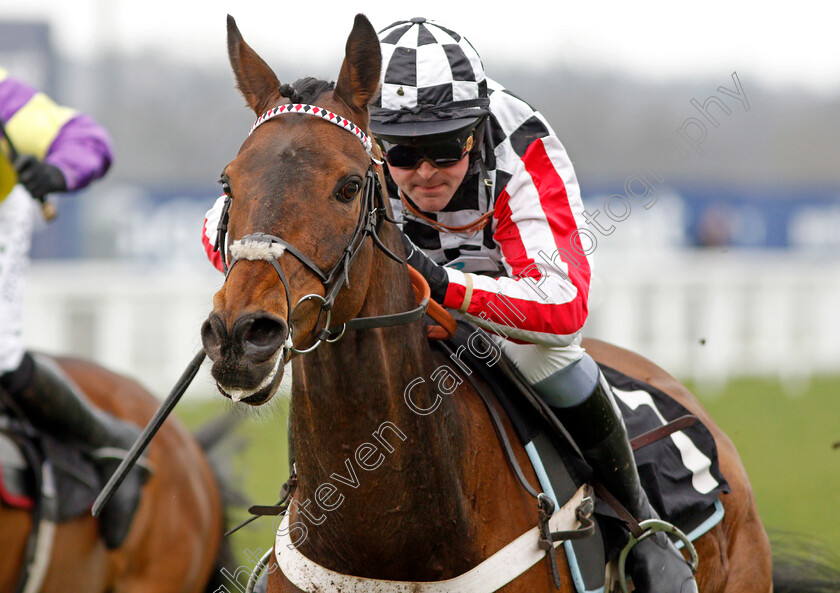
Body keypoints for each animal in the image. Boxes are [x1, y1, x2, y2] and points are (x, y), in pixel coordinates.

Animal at [202, 13, 788, 592]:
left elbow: (561, 292)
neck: (393, 544)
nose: (241, 336)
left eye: (348, 186)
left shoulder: (533, 159)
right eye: (228, 183)